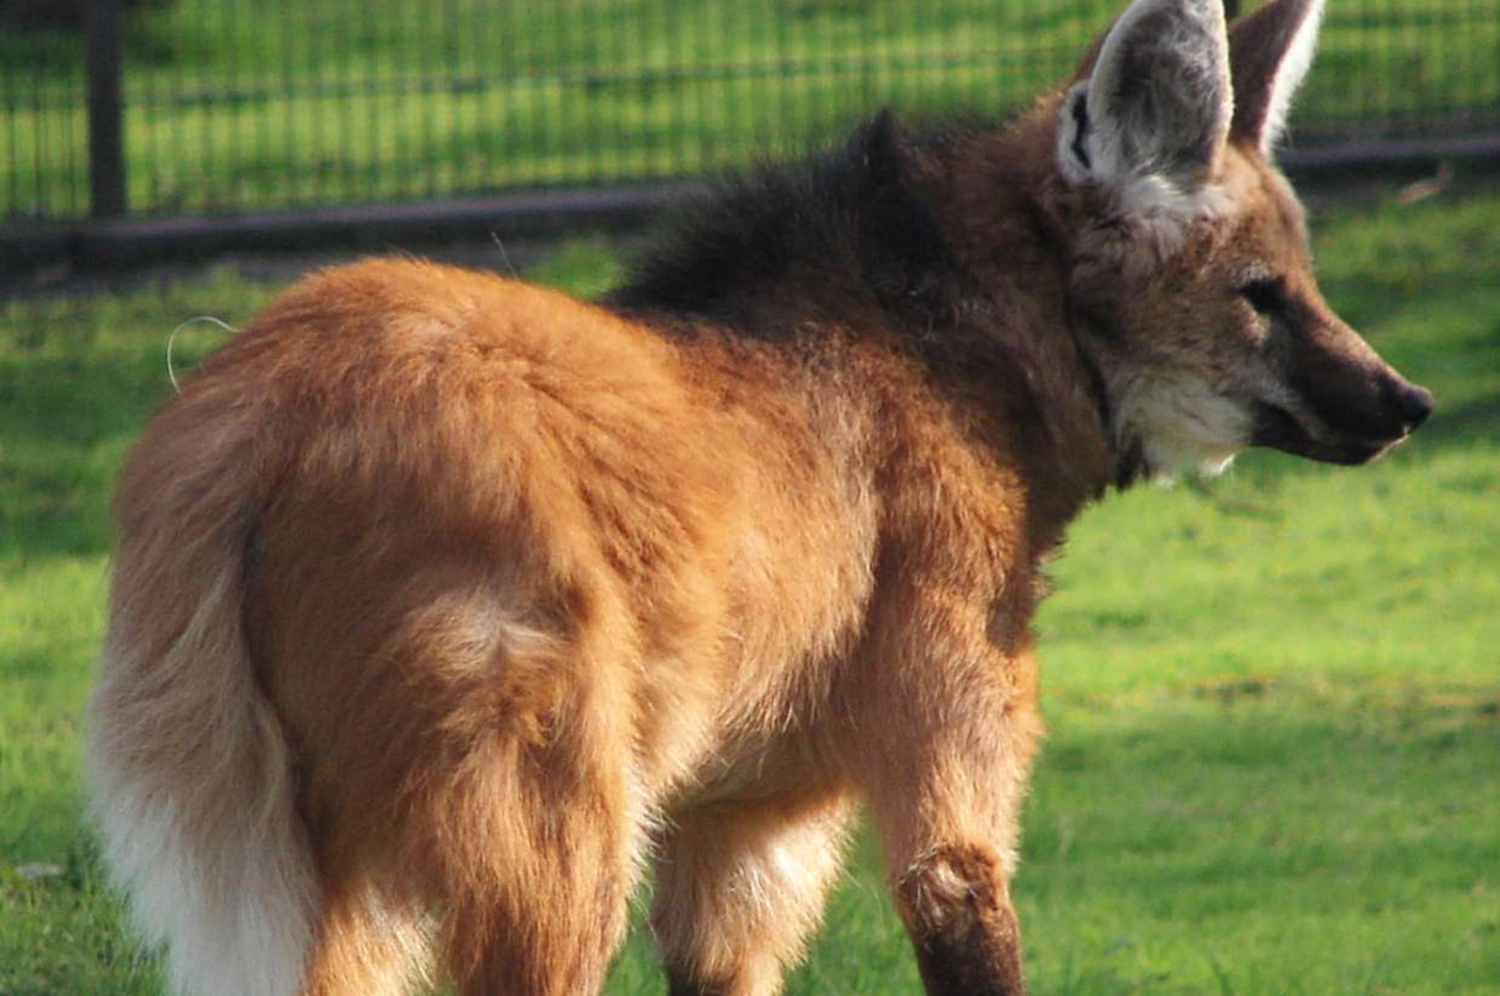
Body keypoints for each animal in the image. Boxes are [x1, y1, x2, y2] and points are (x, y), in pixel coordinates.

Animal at [90, 0, 1428, 990]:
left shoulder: (742, 818)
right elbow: (962, 899)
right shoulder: (936, 745)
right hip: (556, 824)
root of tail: (250, 415)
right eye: (1261, 294)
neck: (966, 350)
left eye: (1304, 281)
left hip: (336, 863)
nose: (1406, 401)